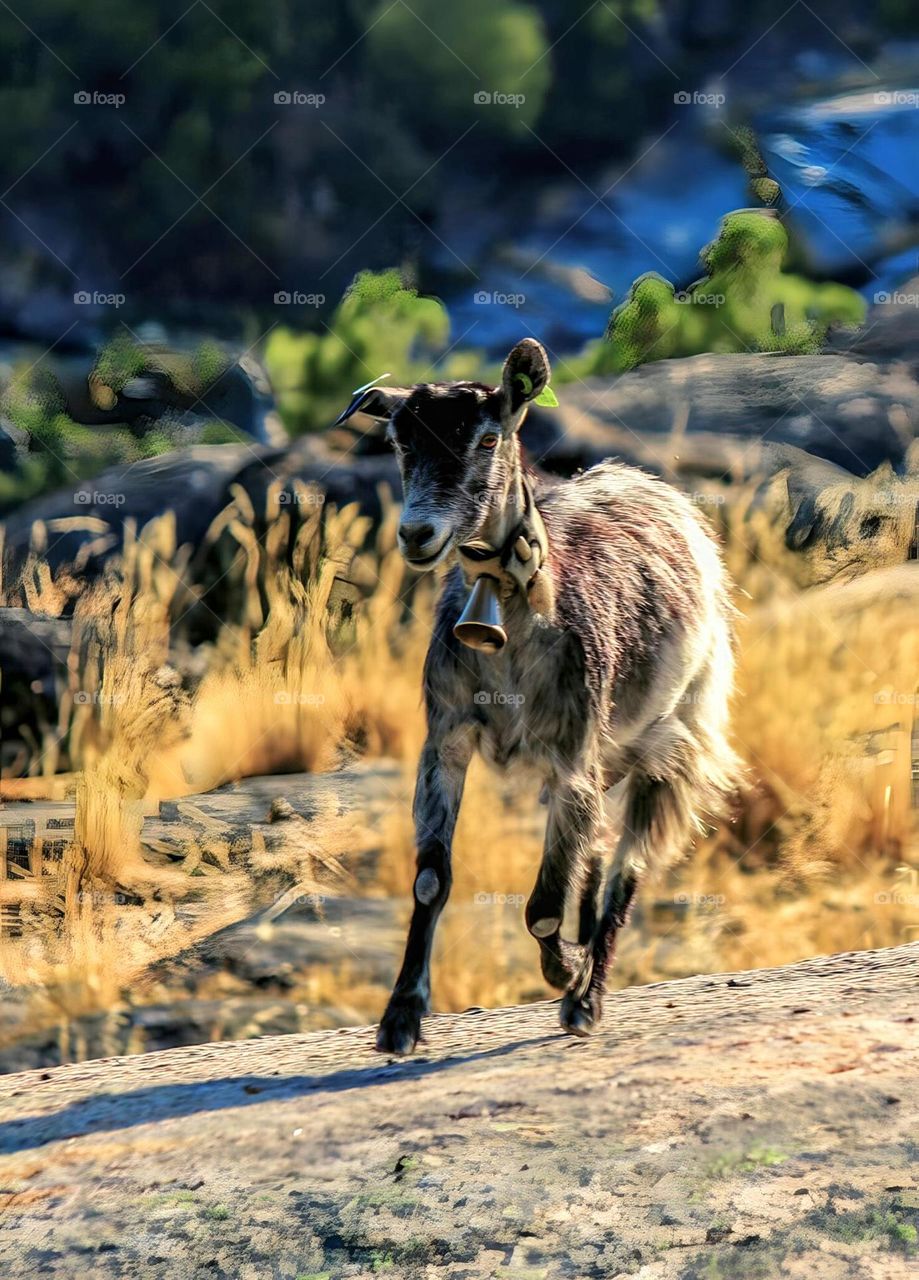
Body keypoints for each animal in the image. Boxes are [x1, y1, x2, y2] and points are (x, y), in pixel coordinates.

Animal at [335, 339, 739, 1055]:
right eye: (398, 440)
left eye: (489, 437)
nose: (416, 534)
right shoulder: (446, 743)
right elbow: (432, 880)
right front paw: (401, 1017)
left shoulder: (571, 753)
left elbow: (544, 906)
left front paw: (566, 971)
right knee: (598, 849)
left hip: (675, 734)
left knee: (627, 864)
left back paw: (585, 997)